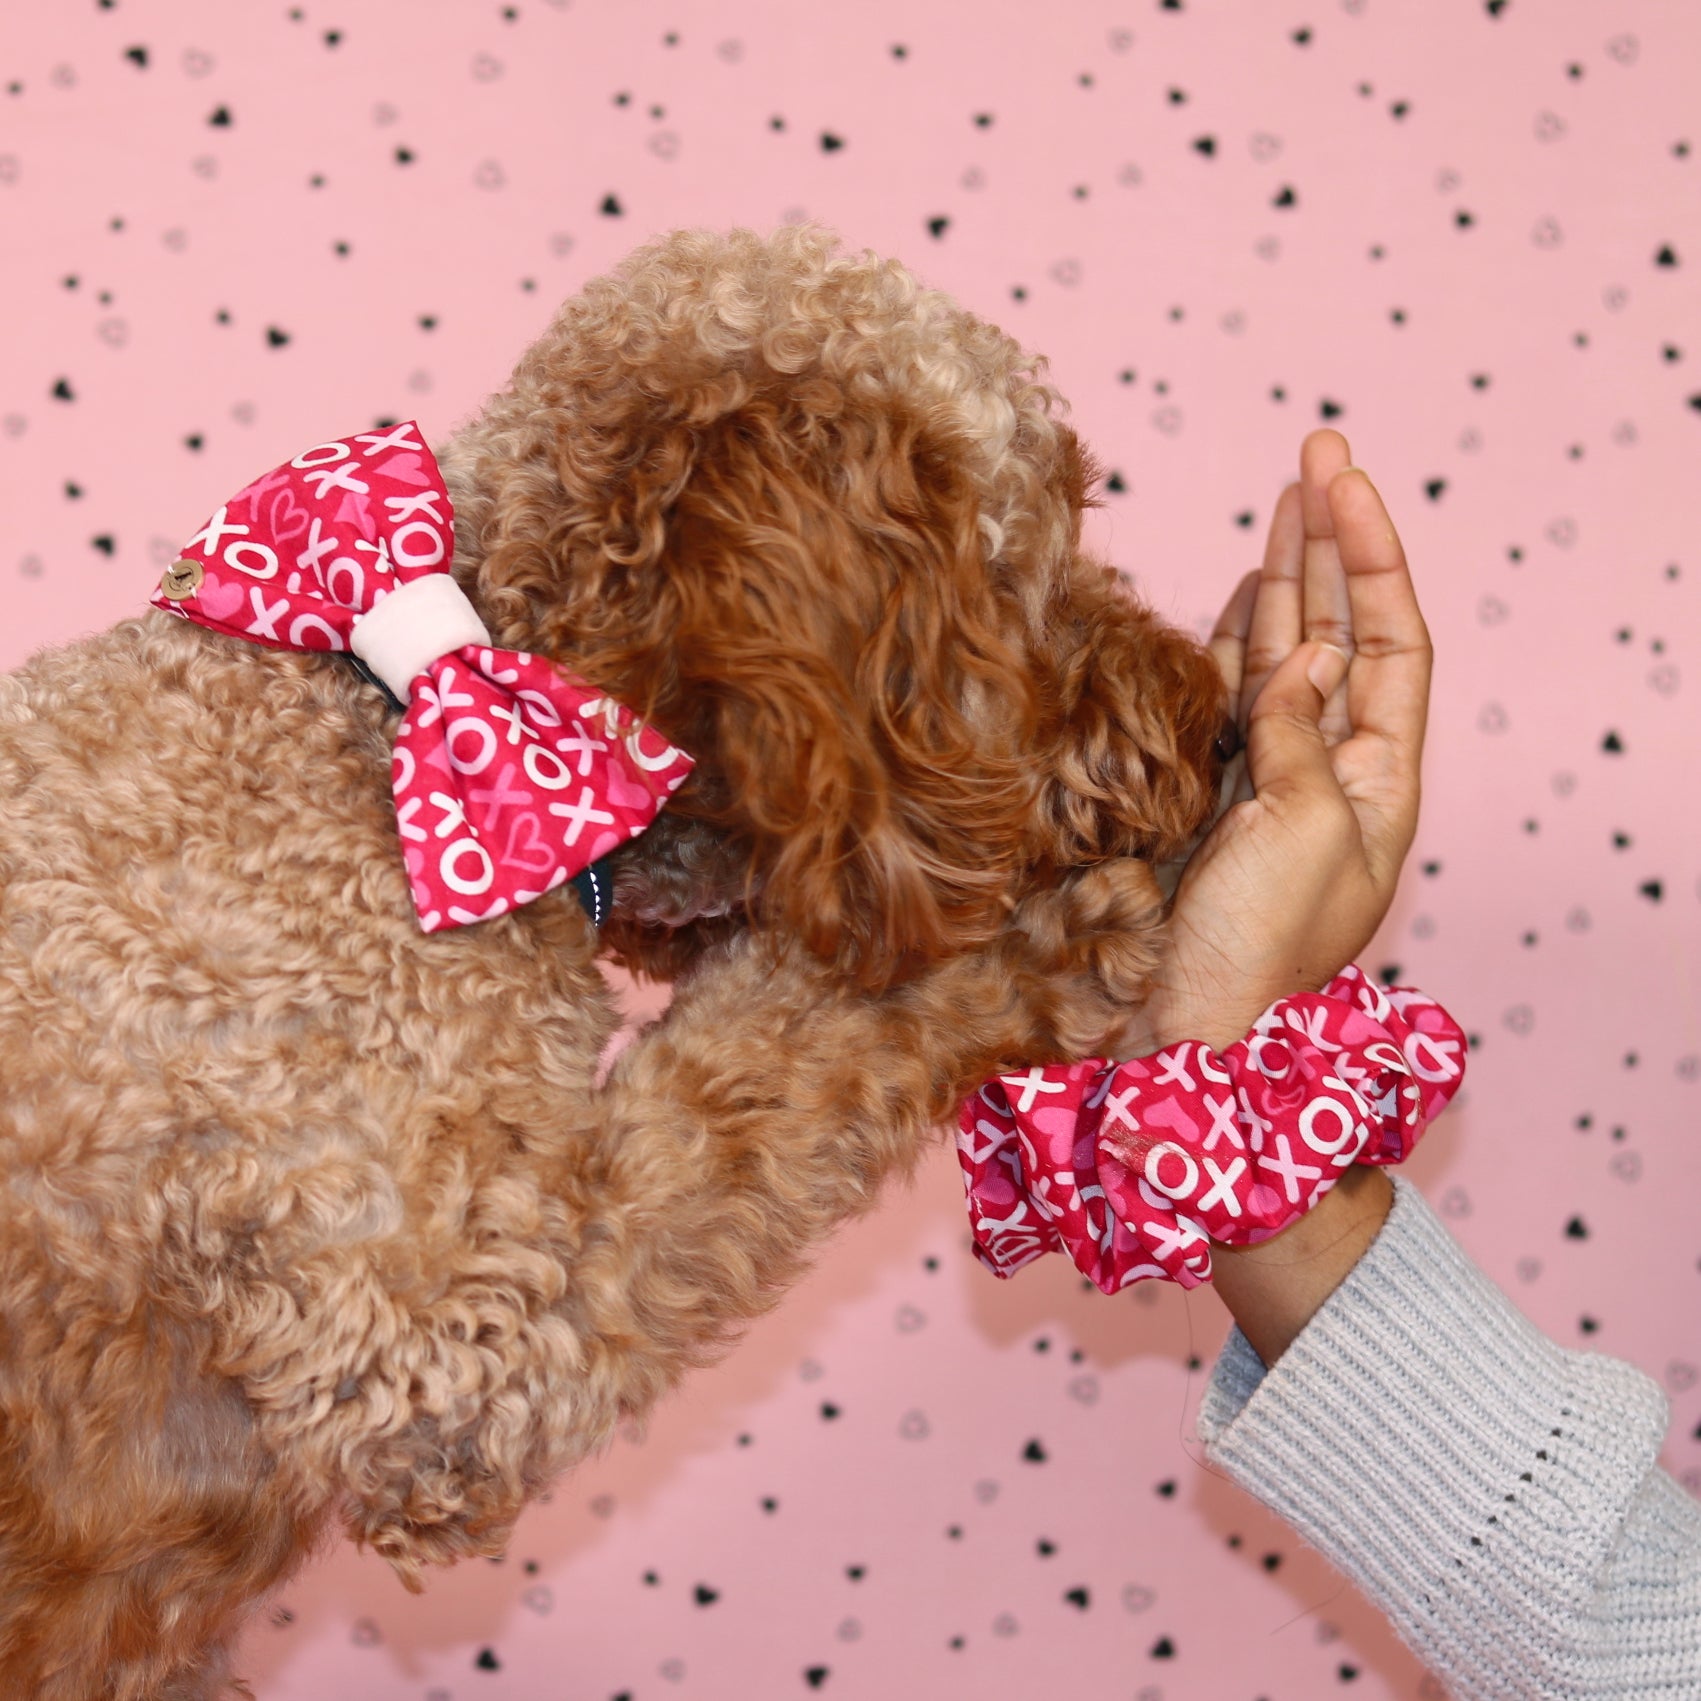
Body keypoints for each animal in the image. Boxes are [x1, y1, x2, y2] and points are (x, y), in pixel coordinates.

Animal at [0, 222, 1224, 1687]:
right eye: (1049, 537)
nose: (1218, 723)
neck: (390, 708)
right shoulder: (446, 1356)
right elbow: (777, 1074)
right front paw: (1048, 944)